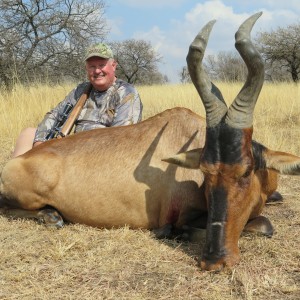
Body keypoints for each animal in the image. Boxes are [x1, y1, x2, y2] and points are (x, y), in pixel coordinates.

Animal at [0, 11, 300, 270]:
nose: (214, 260)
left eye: (246, 171)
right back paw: (51, 216)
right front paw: (171, 233)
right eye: (205, 172)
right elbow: (260, 225)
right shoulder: (182, 216)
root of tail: (18, 161)